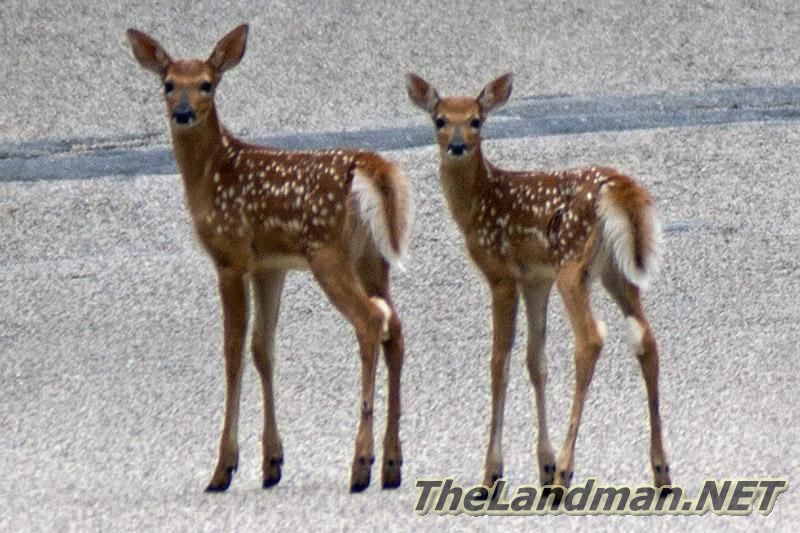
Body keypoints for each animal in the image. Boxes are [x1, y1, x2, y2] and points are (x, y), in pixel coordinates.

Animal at [126, 24, 414, 493]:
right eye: (168, 84)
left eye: (207, 84)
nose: (183, 112)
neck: (211, 175)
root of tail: (372, 167)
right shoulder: (270, 266)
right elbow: (263, 348)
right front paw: (271, 462)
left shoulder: (230, 257)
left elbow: (232, 350)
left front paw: (224, 467)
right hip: (373, 259)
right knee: (396, 326)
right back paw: (392, 463)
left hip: (328, 253)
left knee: (371, 320)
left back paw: (361, 463)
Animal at [407, 73, 671, 494]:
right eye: (440, 119)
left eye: (477, 120)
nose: (457, 146)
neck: (478, 204)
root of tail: (618, 188)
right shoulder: (535, 278)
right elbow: (536, 360)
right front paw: (542, 464)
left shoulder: (501, 273)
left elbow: (499, 361)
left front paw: (494, 471)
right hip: (616, 270)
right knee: (645, 338)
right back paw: (660, 470)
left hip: (573, 263)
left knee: (591, 338)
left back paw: (566, 470)